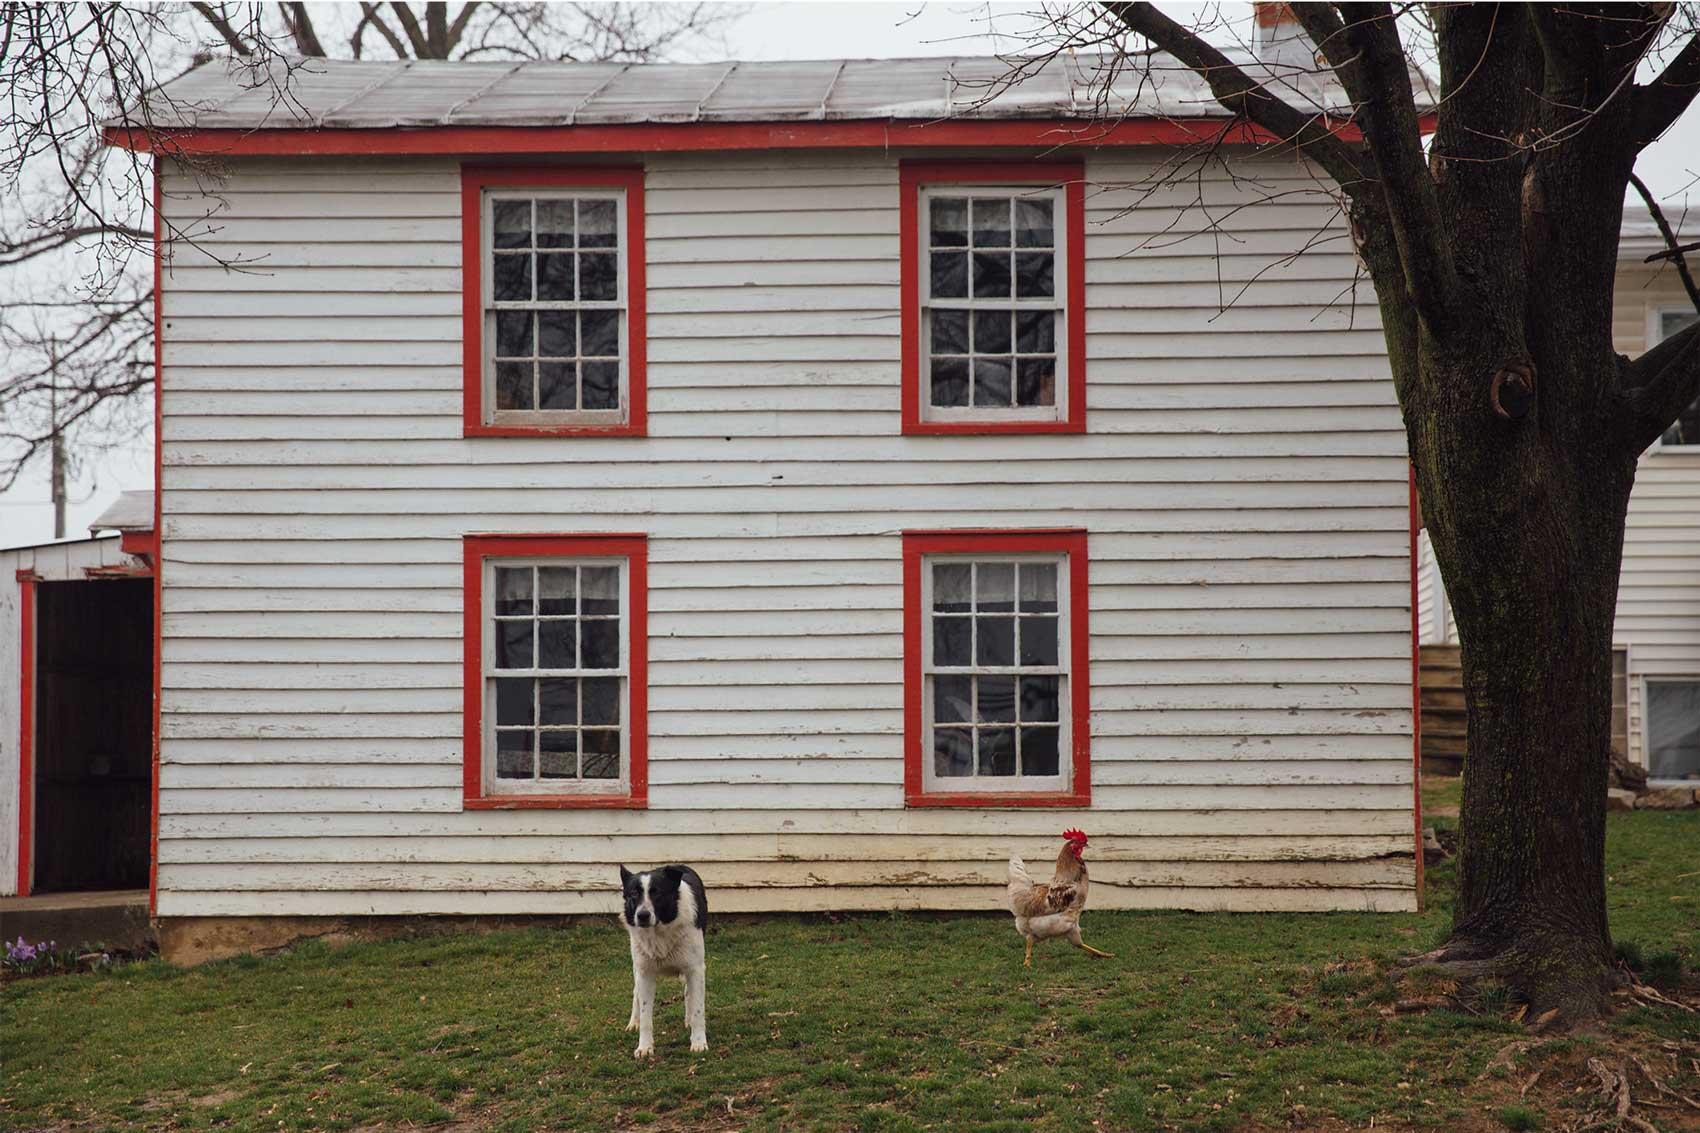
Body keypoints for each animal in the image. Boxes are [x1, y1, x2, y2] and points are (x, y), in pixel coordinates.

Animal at [622, 860, 707, 1054]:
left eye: (657, 893)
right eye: (633, 894)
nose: (642, 916)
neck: (660, 931)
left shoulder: (695, 969)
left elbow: (698, 1010)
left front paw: (698, 1042)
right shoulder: (645, 972)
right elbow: (645, 1014)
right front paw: (644, 1047)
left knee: (688, 993)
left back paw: (688, 1020)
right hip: (637, 966)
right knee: (635, 992)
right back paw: (634, 1022)